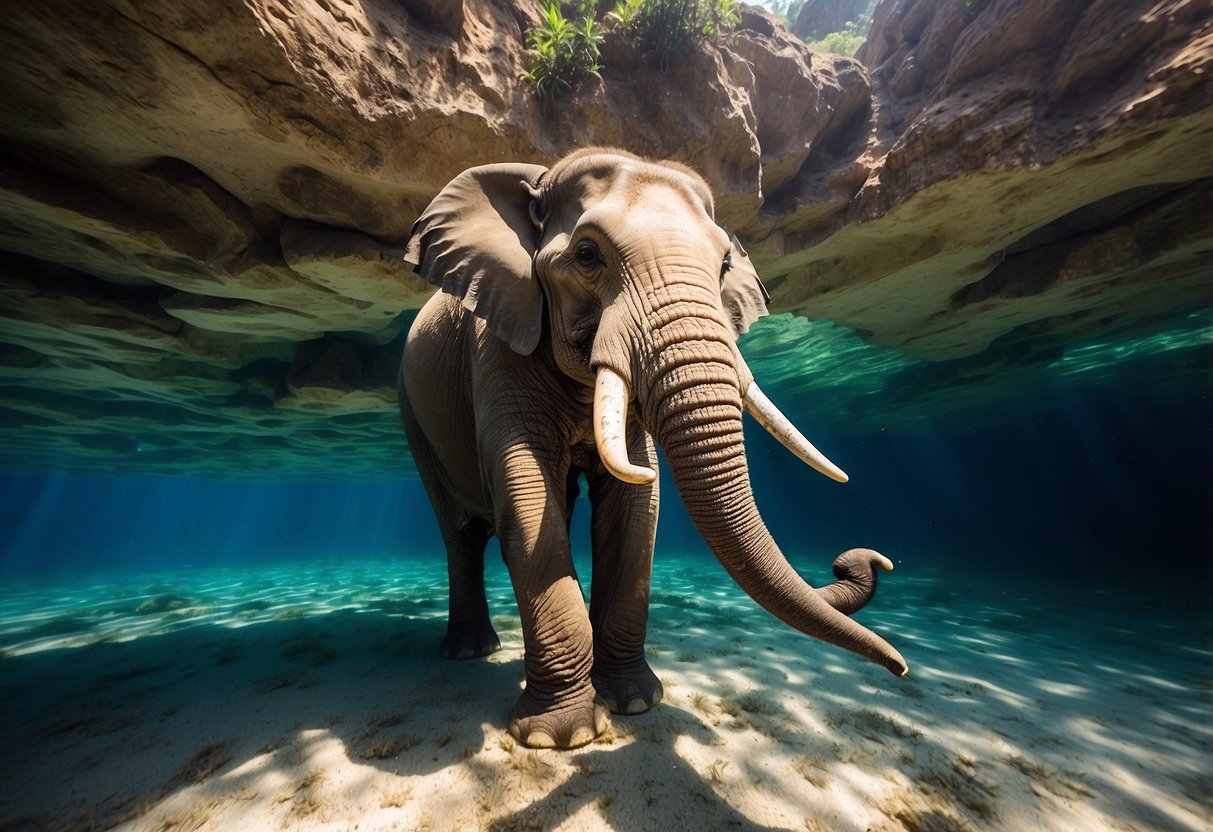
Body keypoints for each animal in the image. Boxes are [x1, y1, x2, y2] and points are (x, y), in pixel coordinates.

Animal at [397, 146, 912, 751]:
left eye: (723, 267)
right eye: (587, 255)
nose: (863, 559)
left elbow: (636, 505)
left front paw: (635, 705)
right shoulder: (496, 346)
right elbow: (526, 492)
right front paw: (563, 738)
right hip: (411, 411)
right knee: (460, 535)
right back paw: (470, 653)